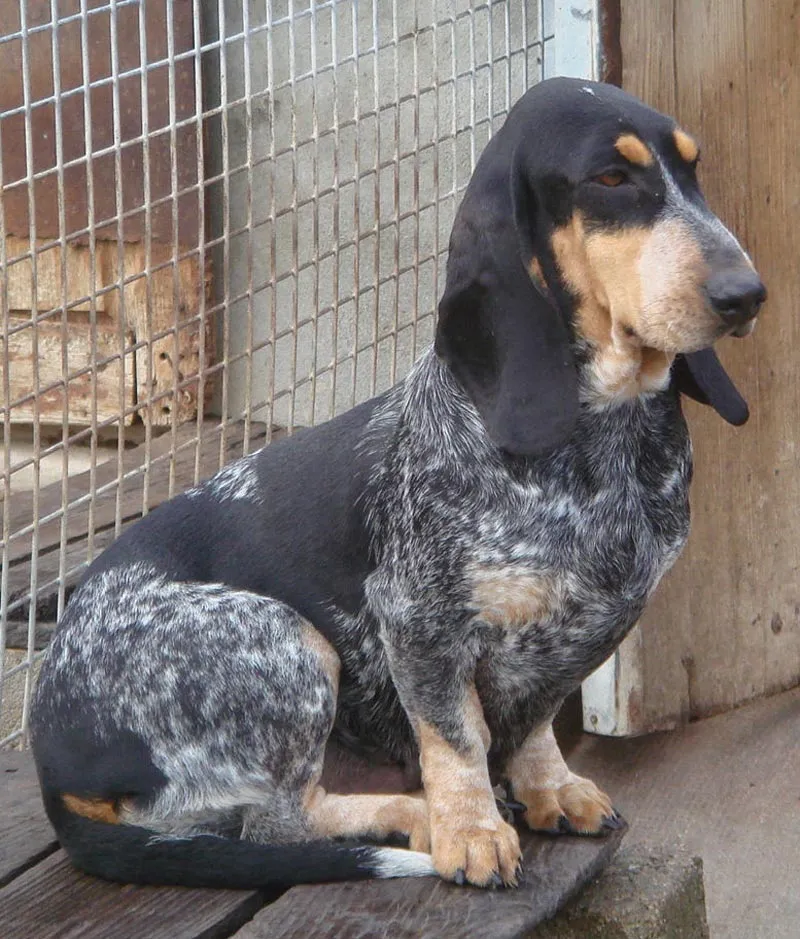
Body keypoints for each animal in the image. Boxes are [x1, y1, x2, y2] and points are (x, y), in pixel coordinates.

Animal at [31, 77, 764, 892]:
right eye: (611, 178)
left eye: (693, 170)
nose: (747, 294)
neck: (602, 437)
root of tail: (51, 761)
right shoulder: (417, 624)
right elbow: (458, 735)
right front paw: (471, 829)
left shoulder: (572, 635)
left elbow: (536, 719)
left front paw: (548, 787)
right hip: (286, 638)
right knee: (279, 821)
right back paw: (412, 817)